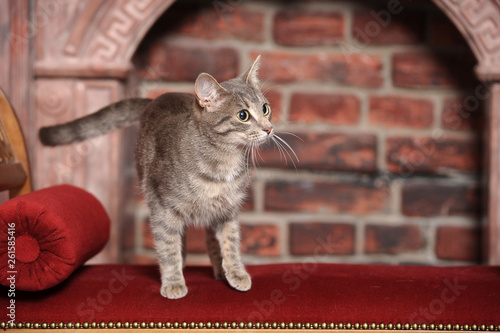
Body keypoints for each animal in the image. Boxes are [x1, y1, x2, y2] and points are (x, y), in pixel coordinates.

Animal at [38, 56, 280, 298]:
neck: (222, 163)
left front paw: (236, 272)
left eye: (265, 108)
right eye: (243, 115)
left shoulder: (228, 210)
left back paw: (219, 269)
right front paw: (173, 281)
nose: (269, 128)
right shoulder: (163, 207)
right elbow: (168, 246)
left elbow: (231, 241)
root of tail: (155, 100)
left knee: (210, 237)